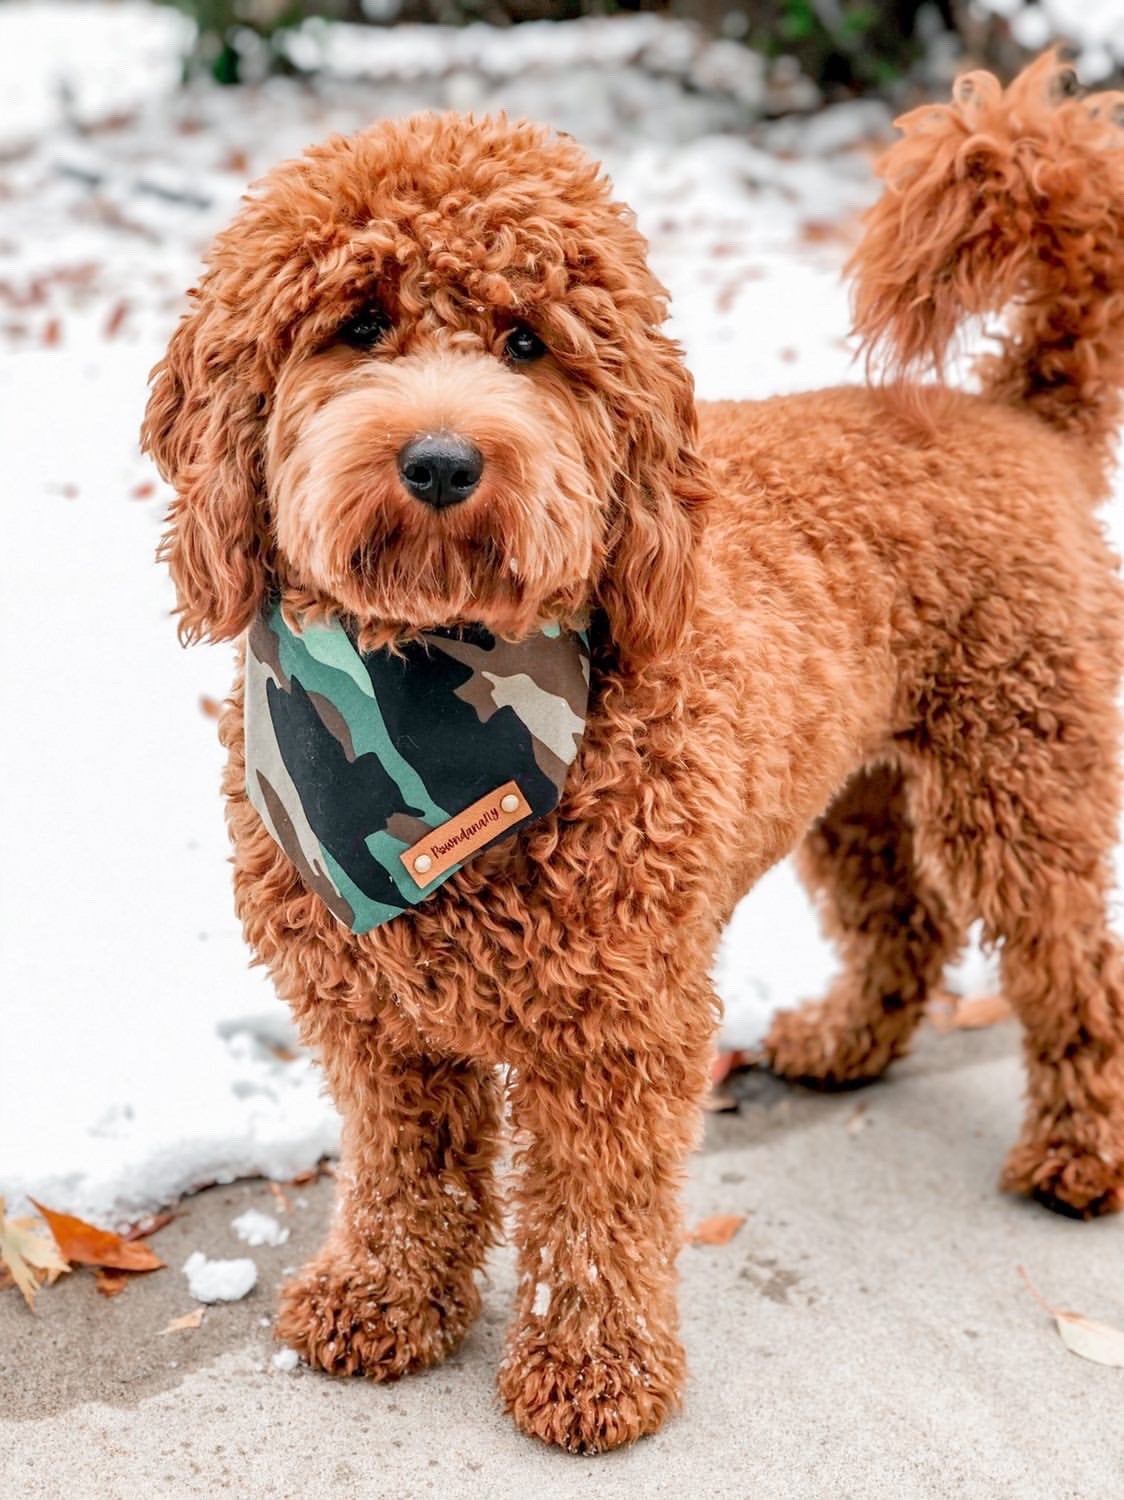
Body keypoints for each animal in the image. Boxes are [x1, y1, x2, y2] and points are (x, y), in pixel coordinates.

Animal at [142, 58, 1122, 1452]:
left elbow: (594, 1206)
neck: (426, 675)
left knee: (1068, 964)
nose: (440, 460)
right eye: (359, 326)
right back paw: (843, 1043)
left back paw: (1078, 1154)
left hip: (1018, 770)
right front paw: (383, 1299)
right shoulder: (377, 1020)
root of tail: (1013, 421)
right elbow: (403, 1167)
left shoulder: (617, 1019)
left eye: (525, 343)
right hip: (853, 786)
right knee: (902, 921)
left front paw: (591, 1367)